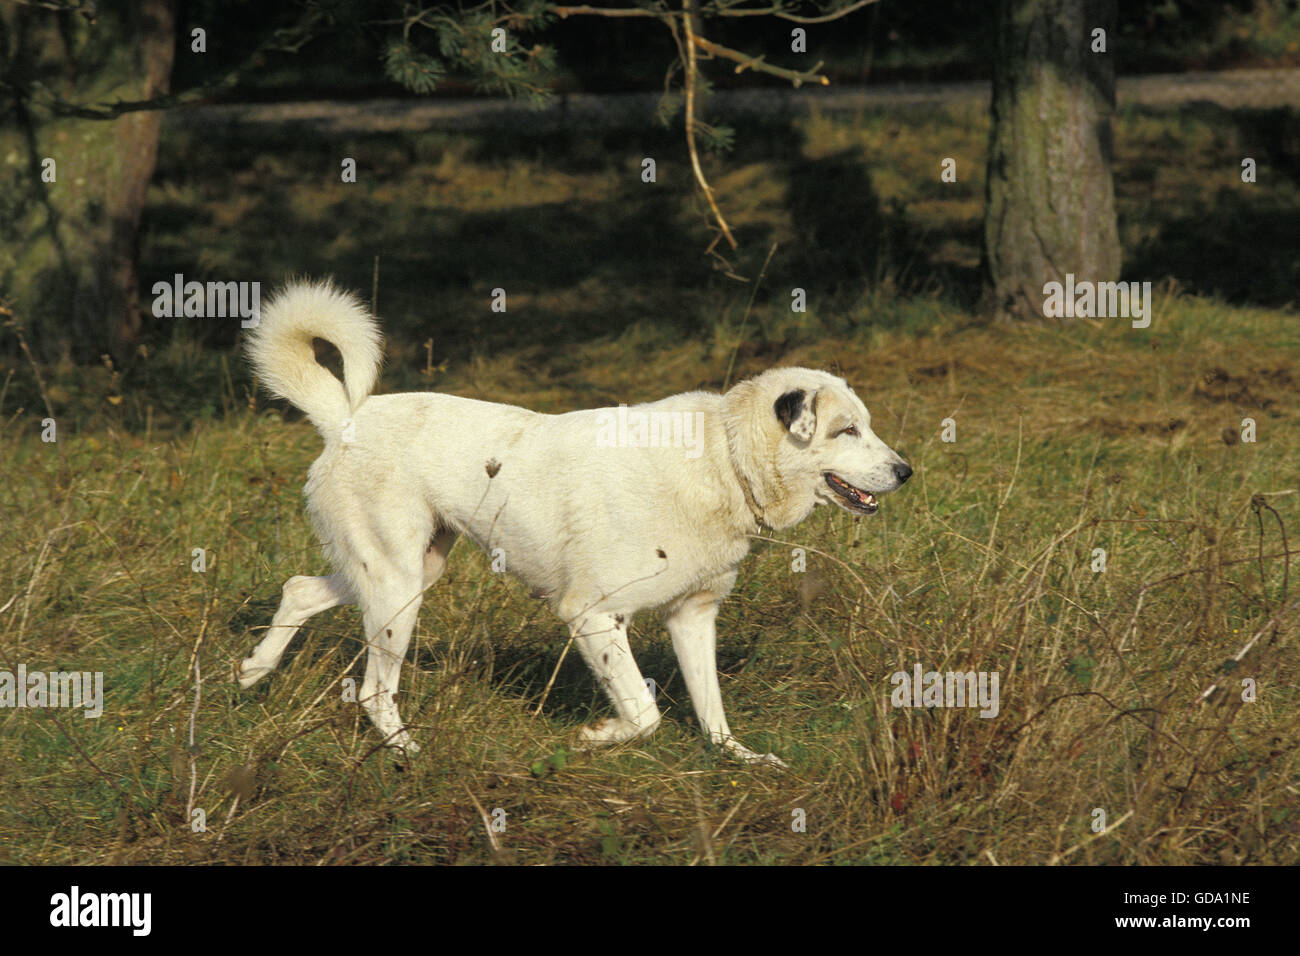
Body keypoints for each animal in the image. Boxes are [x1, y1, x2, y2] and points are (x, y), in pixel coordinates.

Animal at [244, 280, 915, 764]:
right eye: (845, 430)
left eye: (866, 425)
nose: (906, 471)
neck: (723, 457)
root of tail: (343, 419)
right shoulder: (592, 615)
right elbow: (644, 713)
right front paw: (597, 737)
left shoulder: (692, 617)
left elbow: (711, 708)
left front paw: (739, 760)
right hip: (395, 587)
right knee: (373, 690)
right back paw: (408, 752)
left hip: (407, 573)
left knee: (299, 590)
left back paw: (253, 674)